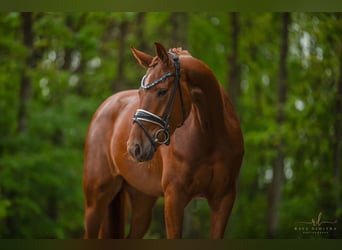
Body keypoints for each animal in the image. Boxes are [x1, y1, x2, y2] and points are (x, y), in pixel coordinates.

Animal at [82, 41, 243, 238]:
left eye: (162, 91)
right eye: (140, 93)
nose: (134, 147)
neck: (210, 135)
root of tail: (107, 105)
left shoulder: (224, 199)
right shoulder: (174, 197)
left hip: (142, 201)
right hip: (96, 200)